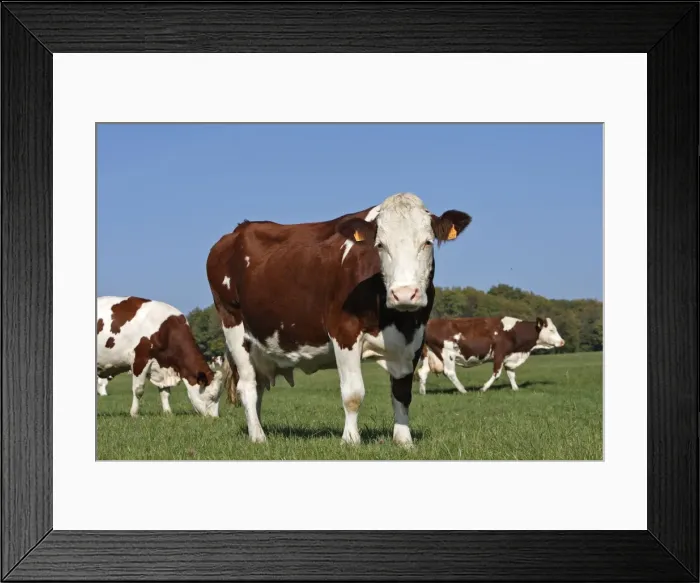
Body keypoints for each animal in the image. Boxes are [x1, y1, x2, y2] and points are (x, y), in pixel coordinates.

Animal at [206, 192, 472, 446]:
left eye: (427, 242)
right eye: (380, 245)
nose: (404, 294)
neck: (395, 318)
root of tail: (238, 230)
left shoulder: (415, 337)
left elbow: (402, 393)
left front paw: (404, 440)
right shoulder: (344, 331)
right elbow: (353, 394)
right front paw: (351, 440)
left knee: (258, 386)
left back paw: (258, 428)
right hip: (234, 327)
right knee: (247, 386)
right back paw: (258, 437)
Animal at [416, 316, 565, 394]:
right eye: (551, 330)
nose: (562, 342)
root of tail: (431, 322)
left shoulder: (509, 356)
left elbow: (511, 373)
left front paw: (515, 388)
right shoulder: (499, 353)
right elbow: (497, 373)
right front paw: (484, 388)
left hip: (429, 354)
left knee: (422, 371)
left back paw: (423, 392)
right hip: (447, 353)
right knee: (449, 372)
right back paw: (463, 390)